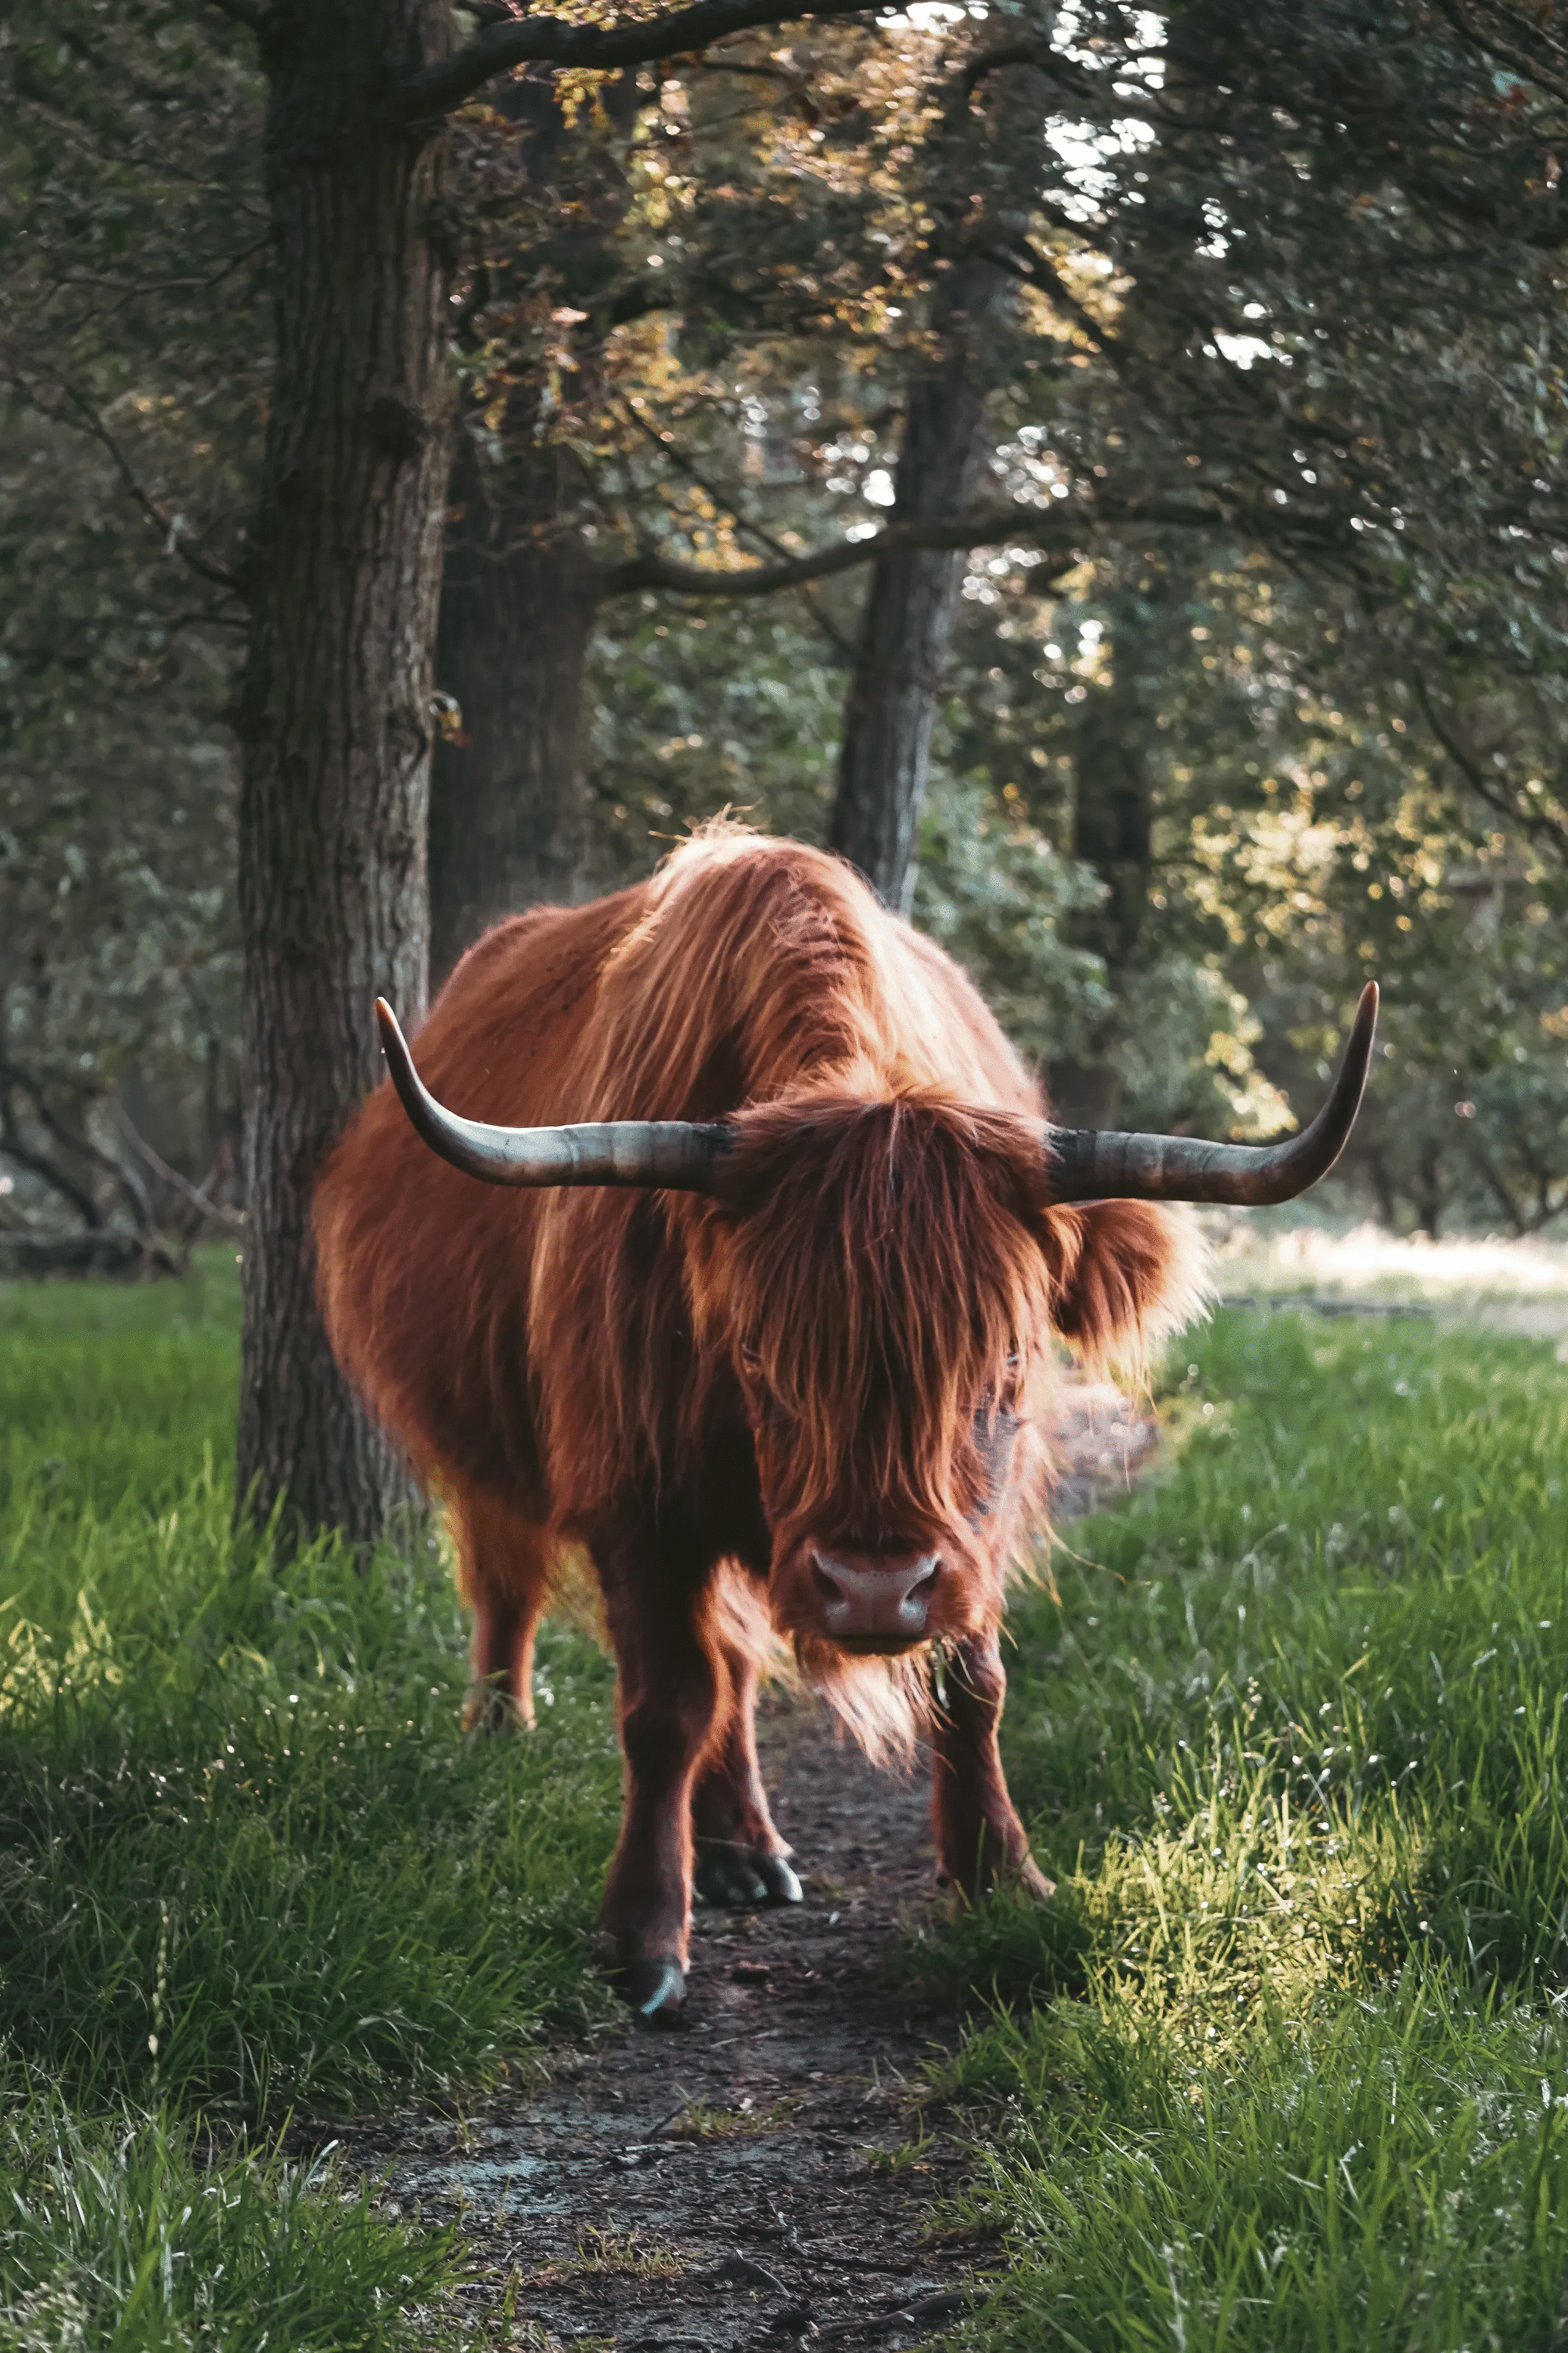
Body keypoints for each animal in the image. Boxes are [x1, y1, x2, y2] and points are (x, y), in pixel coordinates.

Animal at [314, 823, 1375, 2021]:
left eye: (1010, 1357)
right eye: (755, 1352)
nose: (872, 1588)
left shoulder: (973, 1531)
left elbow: (971, 1685)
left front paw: (1000, 1878)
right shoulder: (635, 1494)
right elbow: (662, 1705)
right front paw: (641, 1935)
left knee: (731, 1659)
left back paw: (744, 1850)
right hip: (490, 1457)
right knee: (518, 1594)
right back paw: (506, 1734)